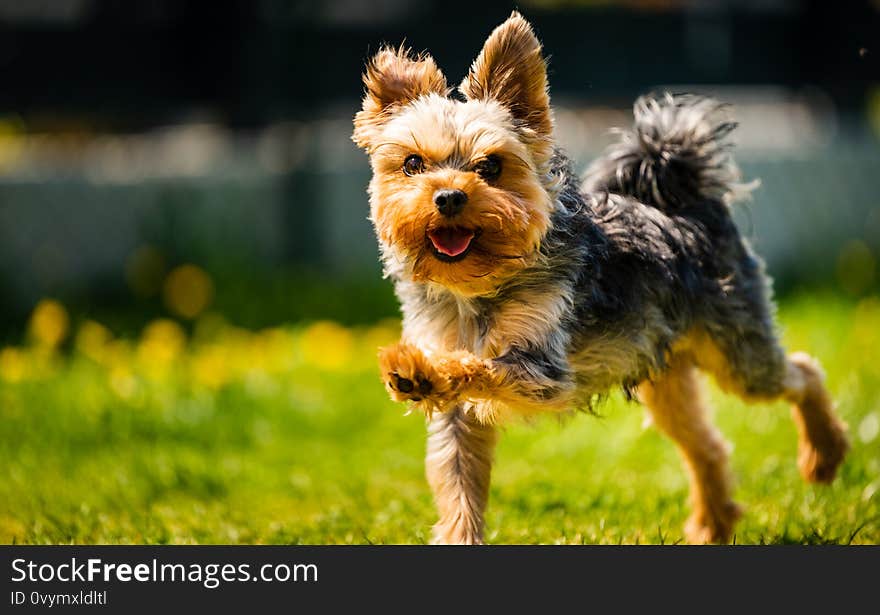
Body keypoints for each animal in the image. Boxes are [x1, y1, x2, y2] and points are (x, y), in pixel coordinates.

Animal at [350, 13, 852, 544]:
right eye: (412, 164)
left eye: (491, 166)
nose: (448, 197)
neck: (477, 289)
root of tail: (685, 199)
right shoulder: (458, 415)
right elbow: (458, 489)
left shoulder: (542, 369)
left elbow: (476, 364)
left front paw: (421, 372)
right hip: (665, 373)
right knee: (706, 443)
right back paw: (712, 524)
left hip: (737, 348)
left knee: (802, 371)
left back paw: (824, 456)